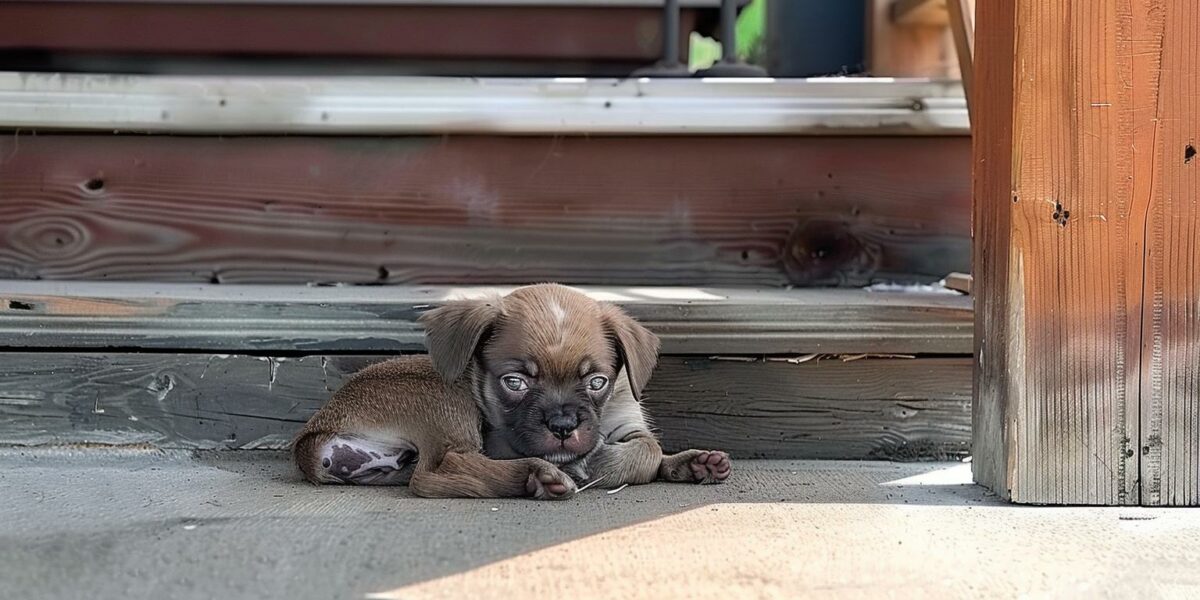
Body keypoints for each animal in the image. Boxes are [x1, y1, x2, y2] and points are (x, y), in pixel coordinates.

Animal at [295, 283, 734, 499]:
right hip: (446, 398)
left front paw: (692, 463)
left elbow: (649, 448)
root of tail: (310, 438)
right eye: (515, 382)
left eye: (597, 382)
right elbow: (644, 452)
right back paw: (537, 476)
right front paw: (587, 464)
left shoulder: (628, 421)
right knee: (437, 472)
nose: (563, 425)